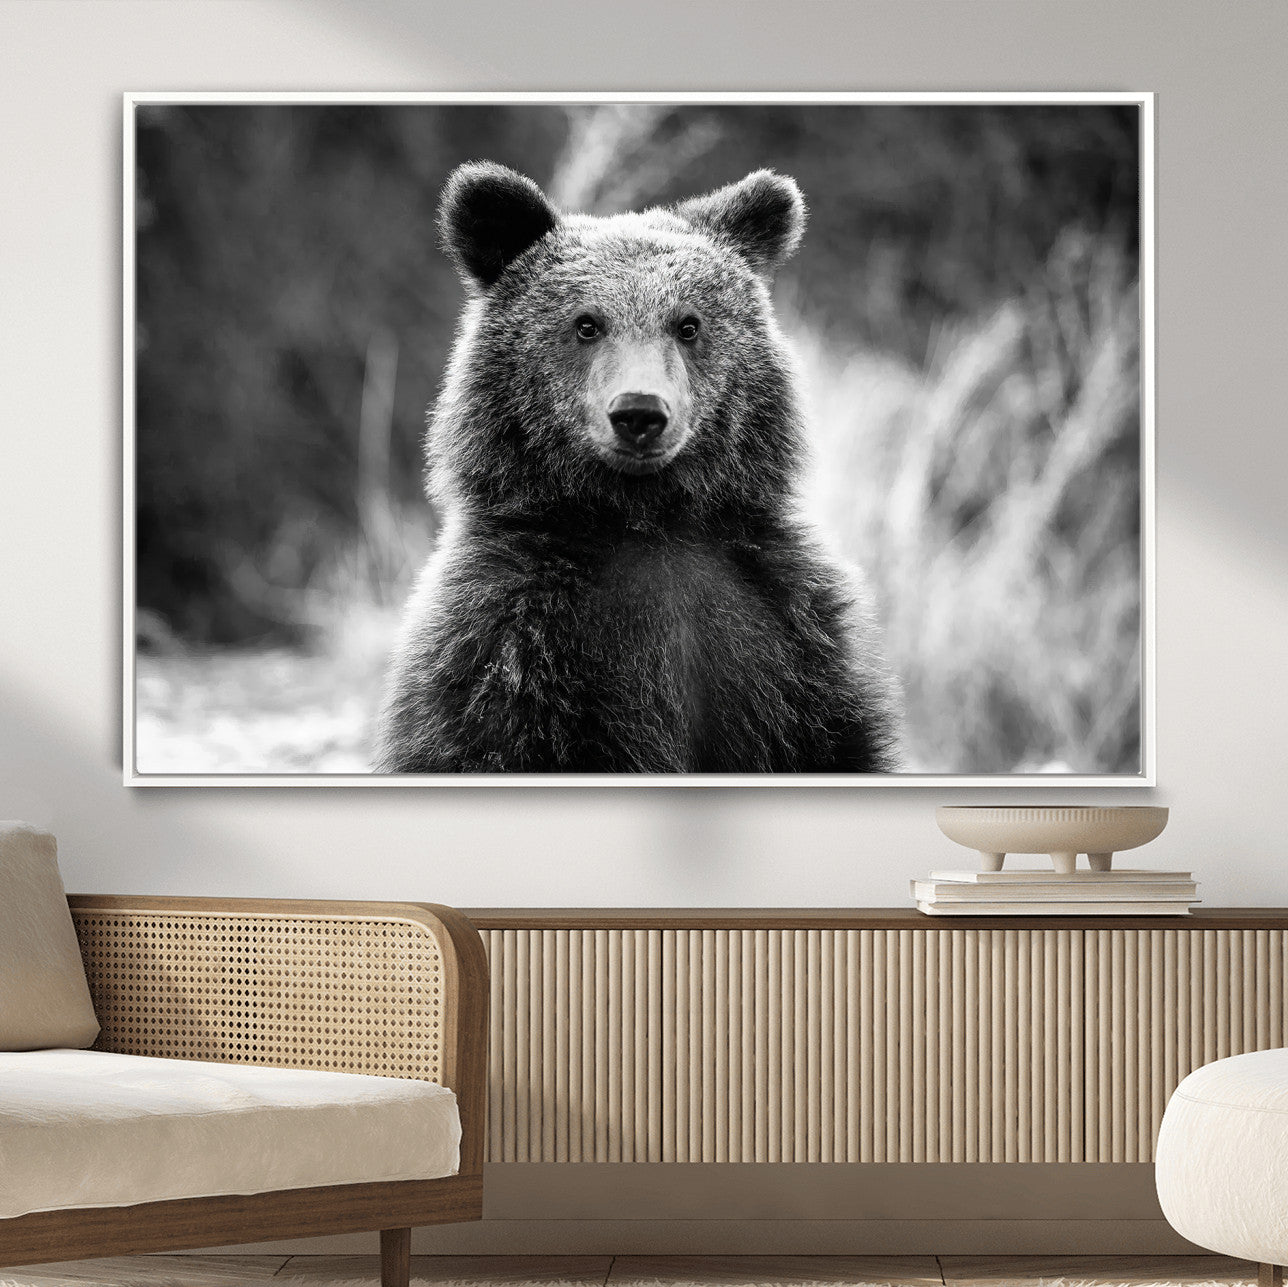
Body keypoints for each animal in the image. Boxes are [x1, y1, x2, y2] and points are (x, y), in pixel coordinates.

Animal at [374, 161, 902, 774]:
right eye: (586, 324)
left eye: (688, 324)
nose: (639, 413)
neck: (646, 521)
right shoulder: (506, 645)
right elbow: (480, 740)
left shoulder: (789, 636)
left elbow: (835, 739)